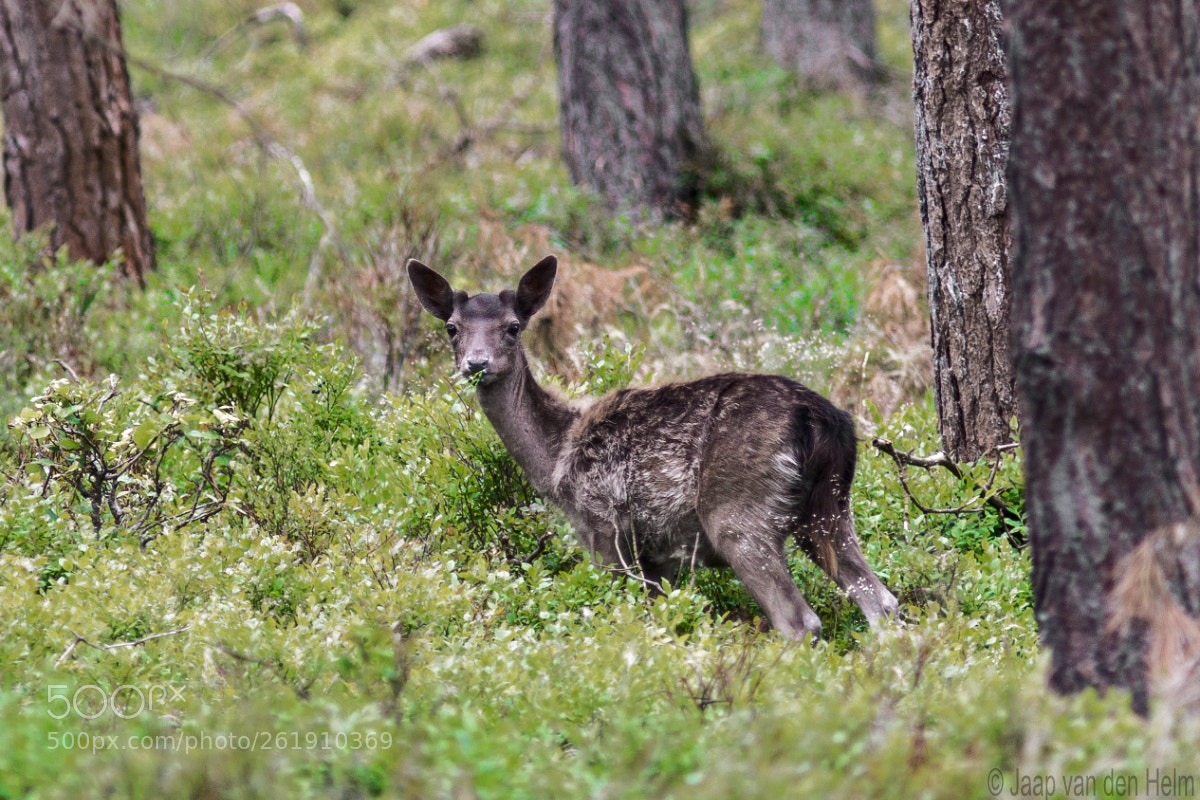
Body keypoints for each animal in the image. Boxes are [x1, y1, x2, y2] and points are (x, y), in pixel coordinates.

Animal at [407, 255, 899, 640]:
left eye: (512, 327)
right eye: (452, 328)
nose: (477, 364)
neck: (554, 459)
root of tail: (824, 419)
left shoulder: (605, 526)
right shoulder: (660, 559)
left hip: (738, 513)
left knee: (799, 620)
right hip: (829, 508)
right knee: (882, 603)